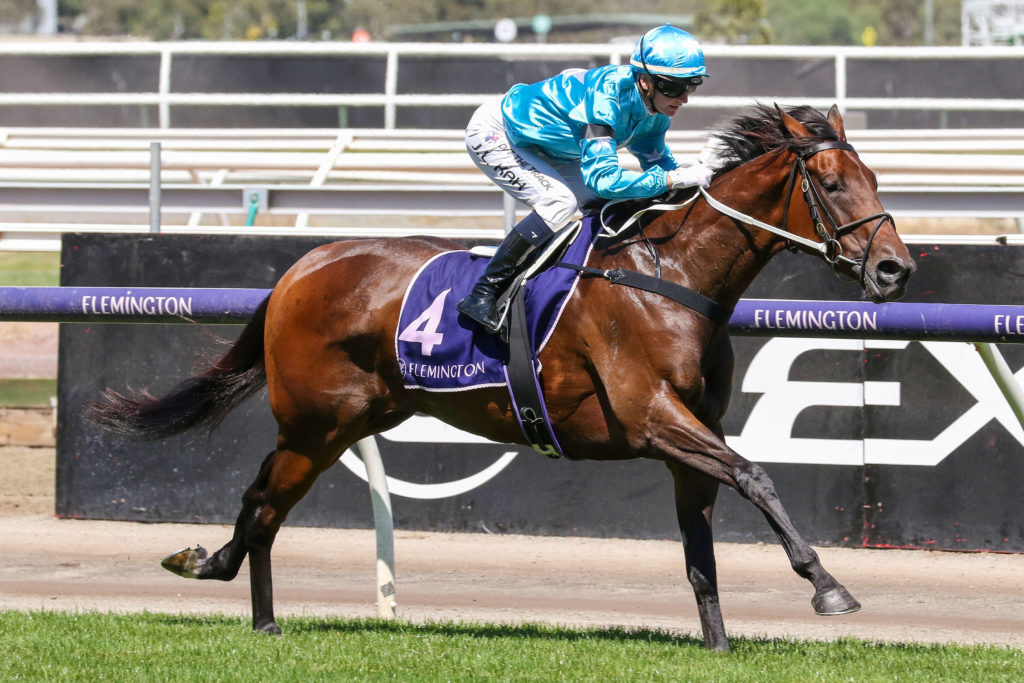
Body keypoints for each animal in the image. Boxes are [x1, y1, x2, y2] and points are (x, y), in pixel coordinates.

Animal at [88, 103, 915, 651]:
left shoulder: (689, 433)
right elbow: (757, 475)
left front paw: (717, 641)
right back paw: (239, 594)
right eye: (833, 184)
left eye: (874, 176)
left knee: (264, 501)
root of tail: (302, 265)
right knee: (264, 503)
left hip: (344, 422)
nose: (895, 268)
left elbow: (702, 546)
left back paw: (243, 598)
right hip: (316, 422)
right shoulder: (651, 416)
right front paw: (829, 586)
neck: (671, 274)